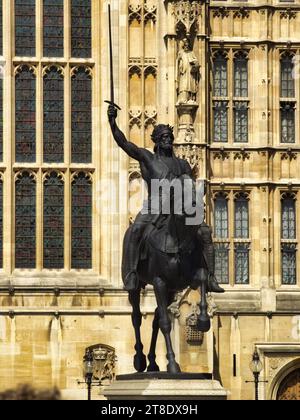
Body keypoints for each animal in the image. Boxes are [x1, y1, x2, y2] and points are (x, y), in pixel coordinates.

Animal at [123, 200, 211, 374]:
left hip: (169, 291)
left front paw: (203, 320)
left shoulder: (182, 281)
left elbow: (203, 277)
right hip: (135, 286)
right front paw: (172, 363)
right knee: (136, 317)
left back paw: (152, 363)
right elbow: (165, 323)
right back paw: (140, 360)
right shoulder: (159, 282)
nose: (199, 211)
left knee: (155, 320)